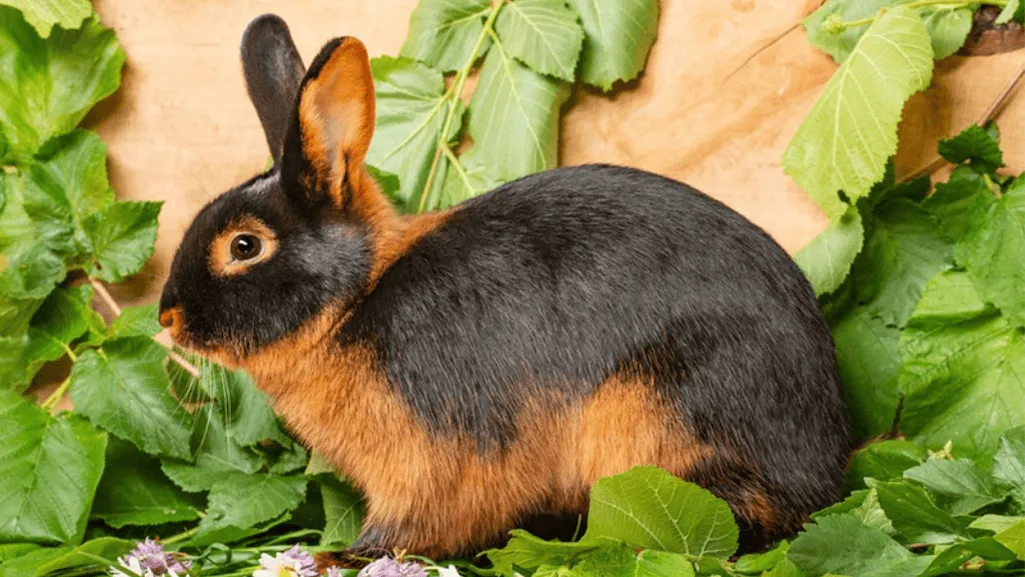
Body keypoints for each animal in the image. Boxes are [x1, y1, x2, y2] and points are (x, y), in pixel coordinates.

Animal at [159, 13, 851, 566]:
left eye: (244, 247)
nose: (167, 317)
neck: (354, 300)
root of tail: (824, 466)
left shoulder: (434, 458)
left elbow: (414, 524)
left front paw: (340, 557)